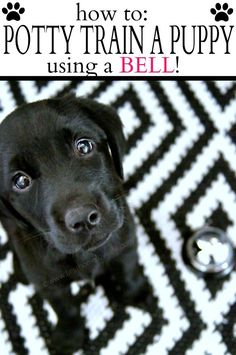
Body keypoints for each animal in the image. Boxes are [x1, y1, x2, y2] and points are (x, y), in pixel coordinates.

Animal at [0, 95, 149, 354]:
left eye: (84, 146)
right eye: (21, 181)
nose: (82, 218)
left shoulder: (126, 241)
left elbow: (128, 269)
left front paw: (136, 292)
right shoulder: (48, 281)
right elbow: (64, 307)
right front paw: (69, 336)